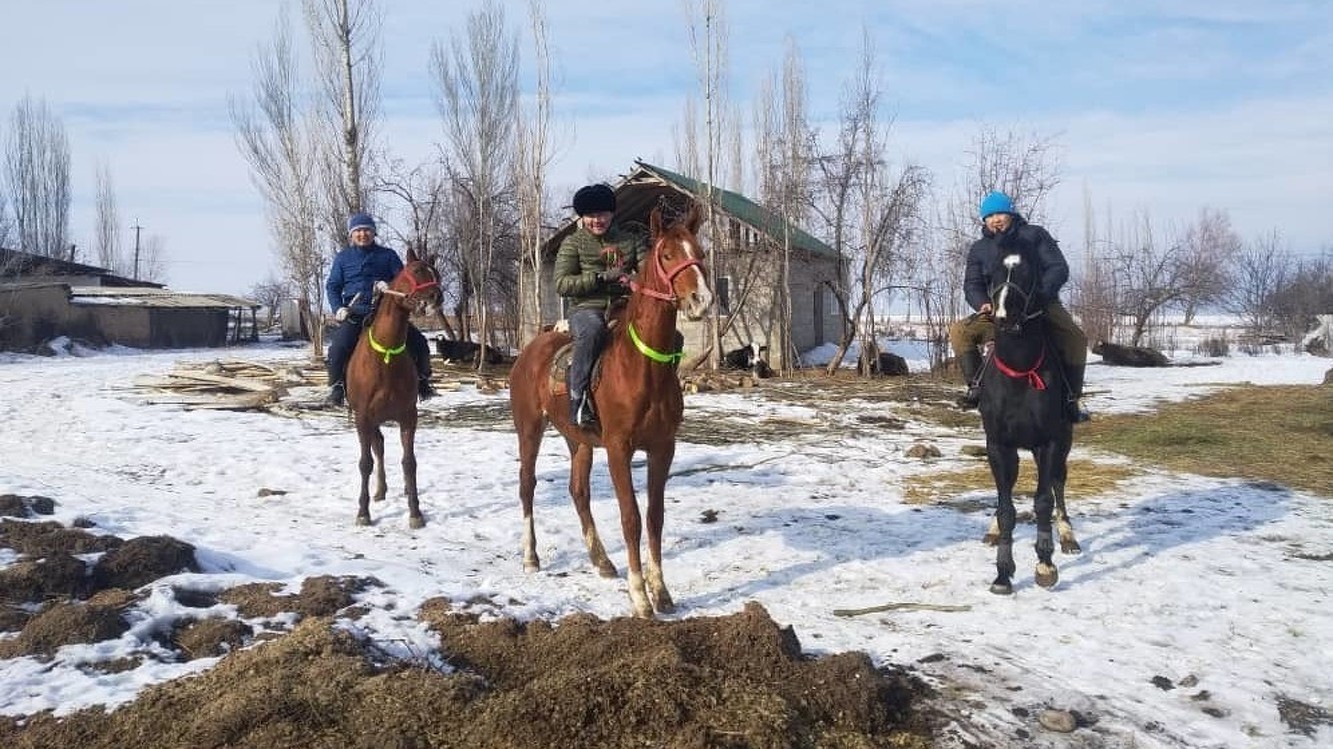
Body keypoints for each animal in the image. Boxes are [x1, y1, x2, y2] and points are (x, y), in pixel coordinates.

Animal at [343, 247, 442, 527]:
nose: (436, 297)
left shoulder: (408, 417)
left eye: (436, 273)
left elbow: (410, 462)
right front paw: (363, 512)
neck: (385, 355)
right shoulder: (363, 418)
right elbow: (365, 462)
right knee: (377, 448)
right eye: (416, 270)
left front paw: (415, 512)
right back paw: (379, 491)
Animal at [509, 201, 714, 615]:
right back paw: (531, 557)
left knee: (578, 491)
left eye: (699, 252)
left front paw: (661, 591)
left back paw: (601, 560)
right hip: (530, 429)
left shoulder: (663, 448)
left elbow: (654, 517)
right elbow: (631, 517)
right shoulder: (620, 449)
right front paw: (639, 596)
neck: (642, 367)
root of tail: (530, 350)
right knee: (527, 485)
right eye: (667, 255)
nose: (700, 300)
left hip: (578, 439)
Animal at [981, 253, 1082, 591]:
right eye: (991, 273)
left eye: (1028, 273)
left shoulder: (1049, 444)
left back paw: (1067, 536)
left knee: (1058, 484)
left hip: (1061, 445)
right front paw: (1002, 573)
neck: (1020, 372)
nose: (1002, 316)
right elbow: (1006, 509)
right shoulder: (999, 446)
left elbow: (1043, 502)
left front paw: (1045, 565)